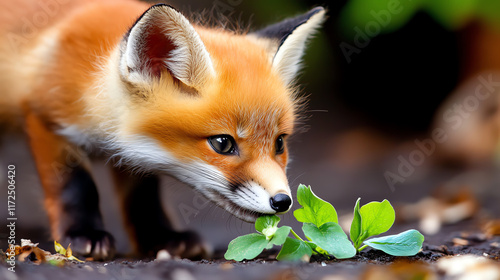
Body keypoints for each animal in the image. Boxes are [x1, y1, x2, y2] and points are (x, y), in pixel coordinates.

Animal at [0, 0, 326, 260]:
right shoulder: (46, 117)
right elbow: (74, 187)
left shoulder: (137, 152)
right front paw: (83, 235)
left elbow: (143, 198)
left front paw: (161, 238)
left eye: (280, 143)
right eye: (222, 143)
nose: (282, 201)